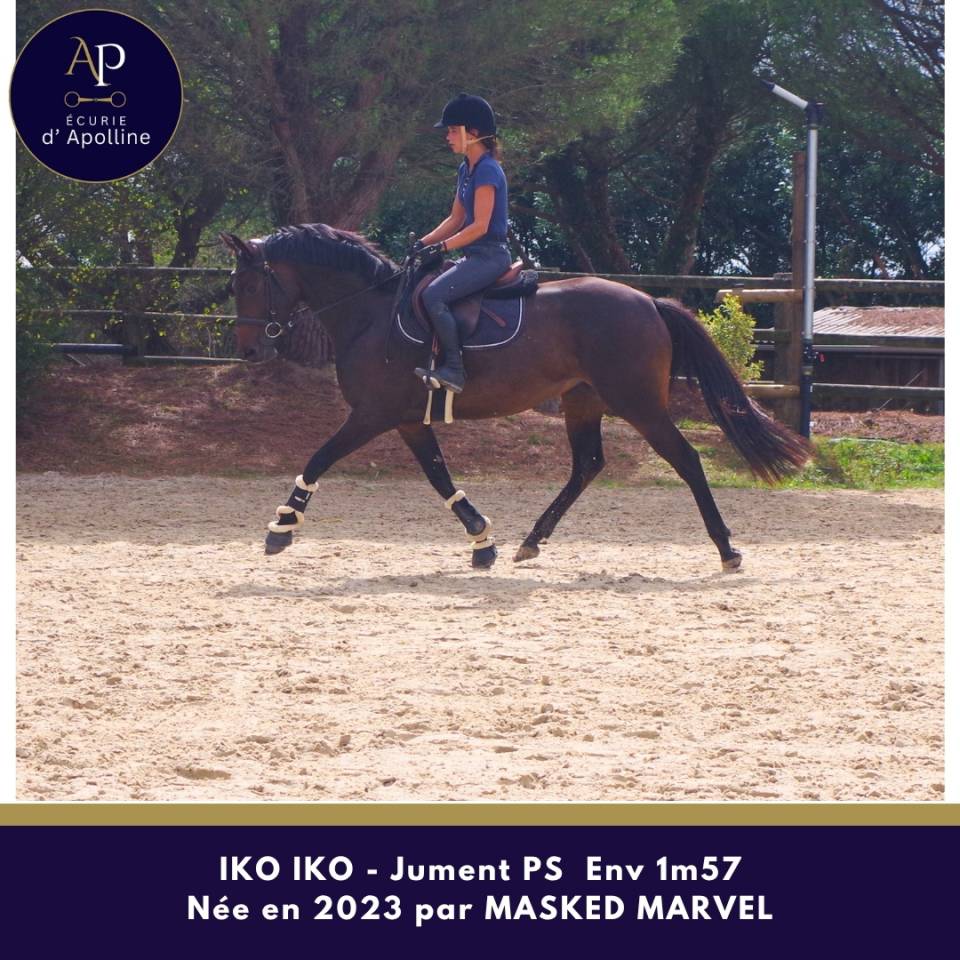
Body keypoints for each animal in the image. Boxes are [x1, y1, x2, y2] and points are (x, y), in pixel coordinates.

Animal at [221, 223, 809, 570]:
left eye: (246, 285)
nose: (248, 350)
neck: (371, 312)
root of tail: (647, 301)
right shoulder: (408, 419)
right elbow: (439, 477)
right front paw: (483, 542)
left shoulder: (372, 414)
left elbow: (317, 459)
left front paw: (281, 528)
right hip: (582, 402)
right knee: (587, 465)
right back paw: (532, 540)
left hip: (639, 404)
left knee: (685, 459)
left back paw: (726, 548)